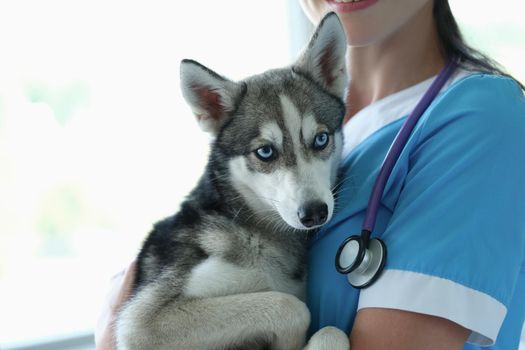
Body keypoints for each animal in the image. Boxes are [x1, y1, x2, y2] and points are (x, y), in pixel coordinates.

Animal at [116, 13, 350, 350]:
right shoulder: (144, 322)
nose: (314, 213)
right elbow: (289, 306)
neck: (257, 229)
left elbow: (331, 330)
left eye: (321, 139)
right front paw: (290, 339)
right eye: (265, 151)